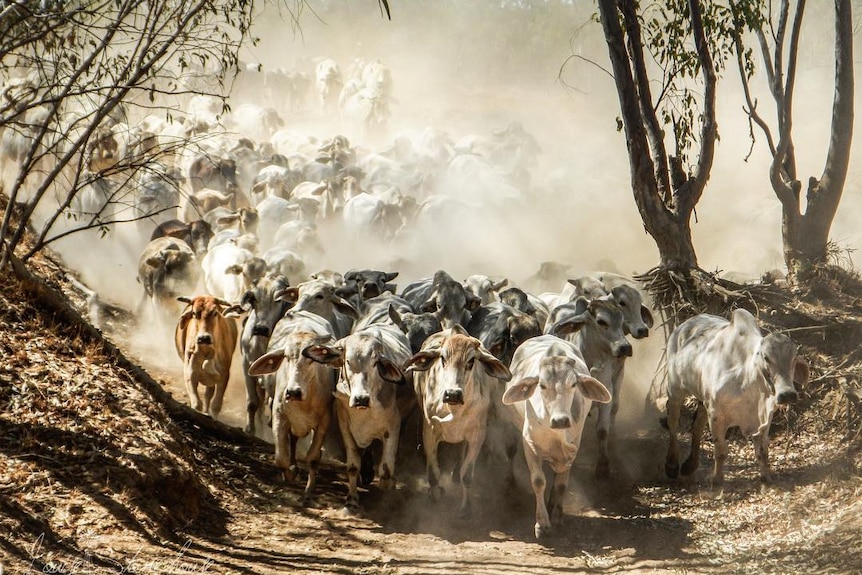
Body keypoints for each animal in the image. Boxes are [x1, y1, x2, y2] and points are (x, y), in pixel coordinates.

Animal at [404, 326, 512, 520]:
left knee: (461, 452)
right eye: (442, 358)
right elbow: (433, 473)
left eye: (471, 361)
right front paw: (434, 496)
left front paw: (466, 508)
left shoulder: (477, 436)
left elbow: (467, 475)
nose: (452, 394)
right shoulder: (429, 432)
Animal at [500, 336, 616, 544]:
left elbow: (561, 483)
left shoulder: (573, 447)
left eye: (573, 385)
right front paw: (542, 525)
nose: (560, 420)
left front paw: (558, 514)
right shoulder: (530, 444)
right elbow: (538, 481)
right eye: (542, 385)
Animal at [664, 310, 812, 486]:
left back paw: (690, 465)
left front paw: (766, 478)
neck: (748, 380)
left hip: (702, 398)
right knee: (673, 422)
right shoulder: (716, 414)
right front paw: (717, 480)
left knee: (697, 426)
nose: (787, 394)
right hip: (675, 389)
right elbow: (721, 451)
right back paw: (672, 465)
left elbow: (762, 451)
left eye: (794, 358)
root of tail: (683, 326)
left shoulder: (764, 417)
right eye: (766, 357)